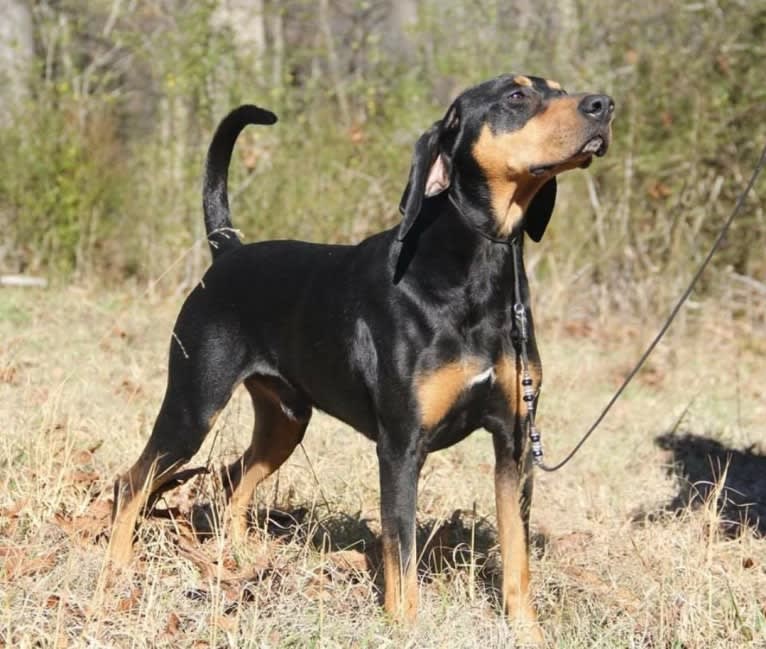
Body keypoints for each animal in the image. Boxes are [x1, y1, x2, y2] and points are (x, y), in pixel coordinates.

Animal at [109, 73, 612, 640]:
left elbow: (517, 553)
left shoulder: (514, 441)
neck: (475, 271)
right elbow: (401, 552)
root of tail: (227, 251)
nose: (604, 105)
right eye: (516, 96)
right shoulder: (400, 446)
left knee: (234, 479)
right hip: (193, 405)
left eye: (560, 88)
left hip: (286, 419)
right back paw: (117, 571)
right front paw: (406, 627)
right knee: (132, 481)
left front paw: (527, 631)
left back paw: (240, 558)